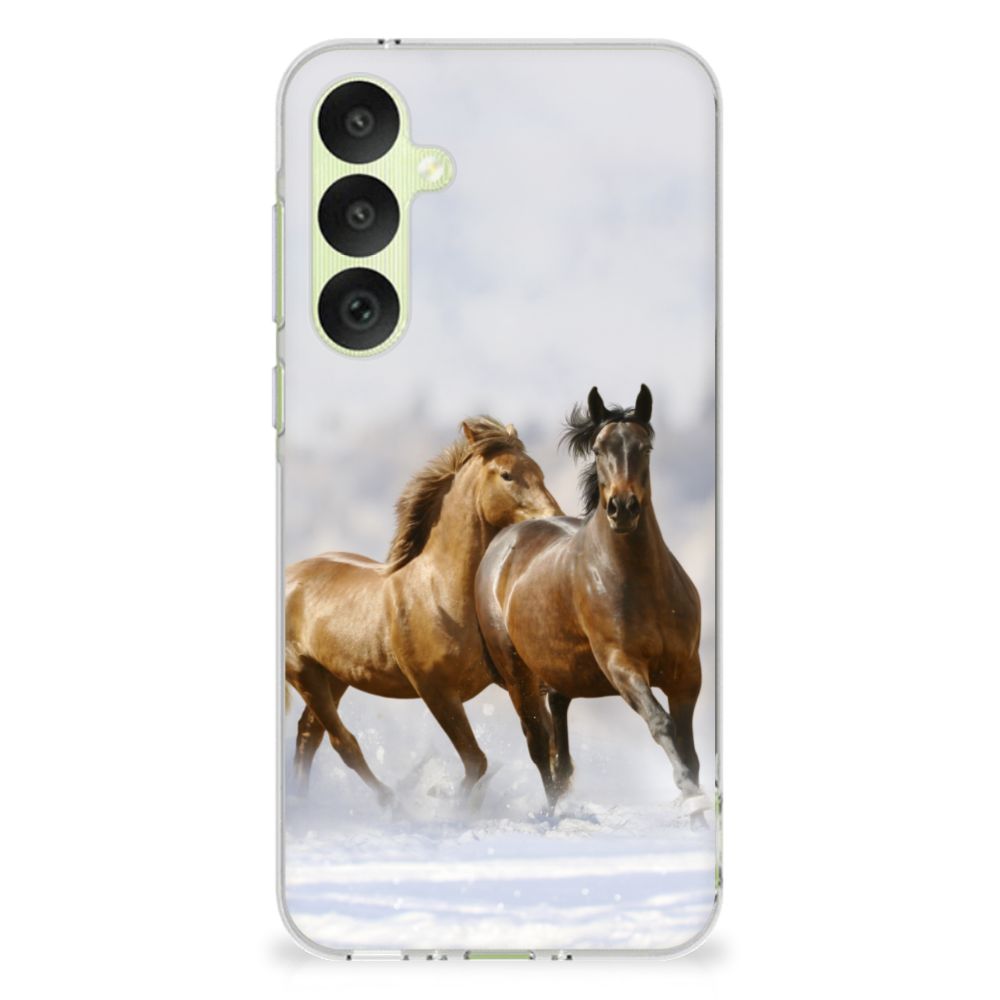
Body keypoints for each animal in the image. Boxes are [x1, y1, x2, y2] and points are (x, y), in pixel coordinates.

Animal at [285, 417, 561, 804]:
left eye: (539, 472)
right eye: (507, 474)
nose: (555, 518)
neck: (441, 594)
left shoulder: (517, 681)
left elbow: (543, 745)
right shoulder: (436, 691)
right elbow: (476, 761)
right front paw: (449, 802)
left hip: (334, 677)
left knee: (309, 735)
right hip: (303, 673)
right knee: (343, 743)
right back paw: (390, 802)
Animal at [475, 386, 710, 819]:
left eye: (645, 447)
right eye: (599, 449)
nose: (622, 508)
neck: (642, 584)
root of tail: (503, 542)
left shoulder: (687, 672)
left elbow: (688, 747)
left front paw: (698, 806)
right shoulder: (622, 665)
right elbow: (661, 724)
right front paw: (688, 793)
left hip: (560, 673)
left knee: (559, 739)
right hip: (518, 676)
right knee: (539, 746)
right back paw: (554, 813)